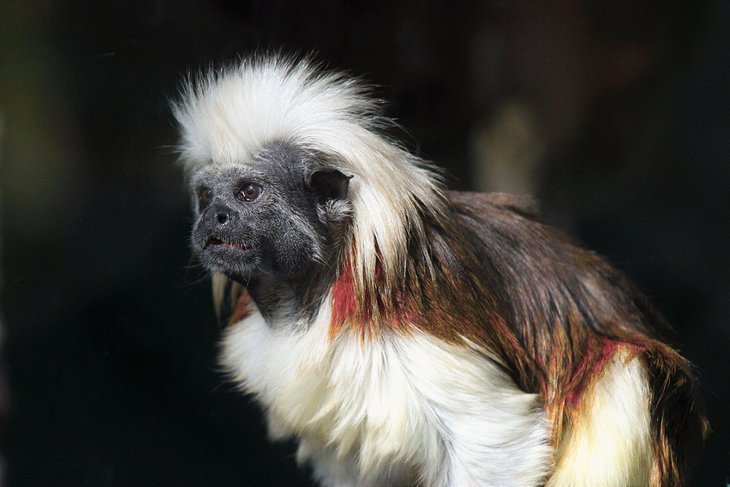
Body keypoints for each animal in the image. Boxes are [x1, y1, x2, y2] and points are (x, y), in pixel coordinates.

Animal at [172, 57, 704, 487]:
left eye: (247, 193)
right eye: (206, 196)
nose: (214, 218)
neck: (314, 292)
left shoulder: (410, 328)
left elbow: (492, 437)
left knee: (623, 368)